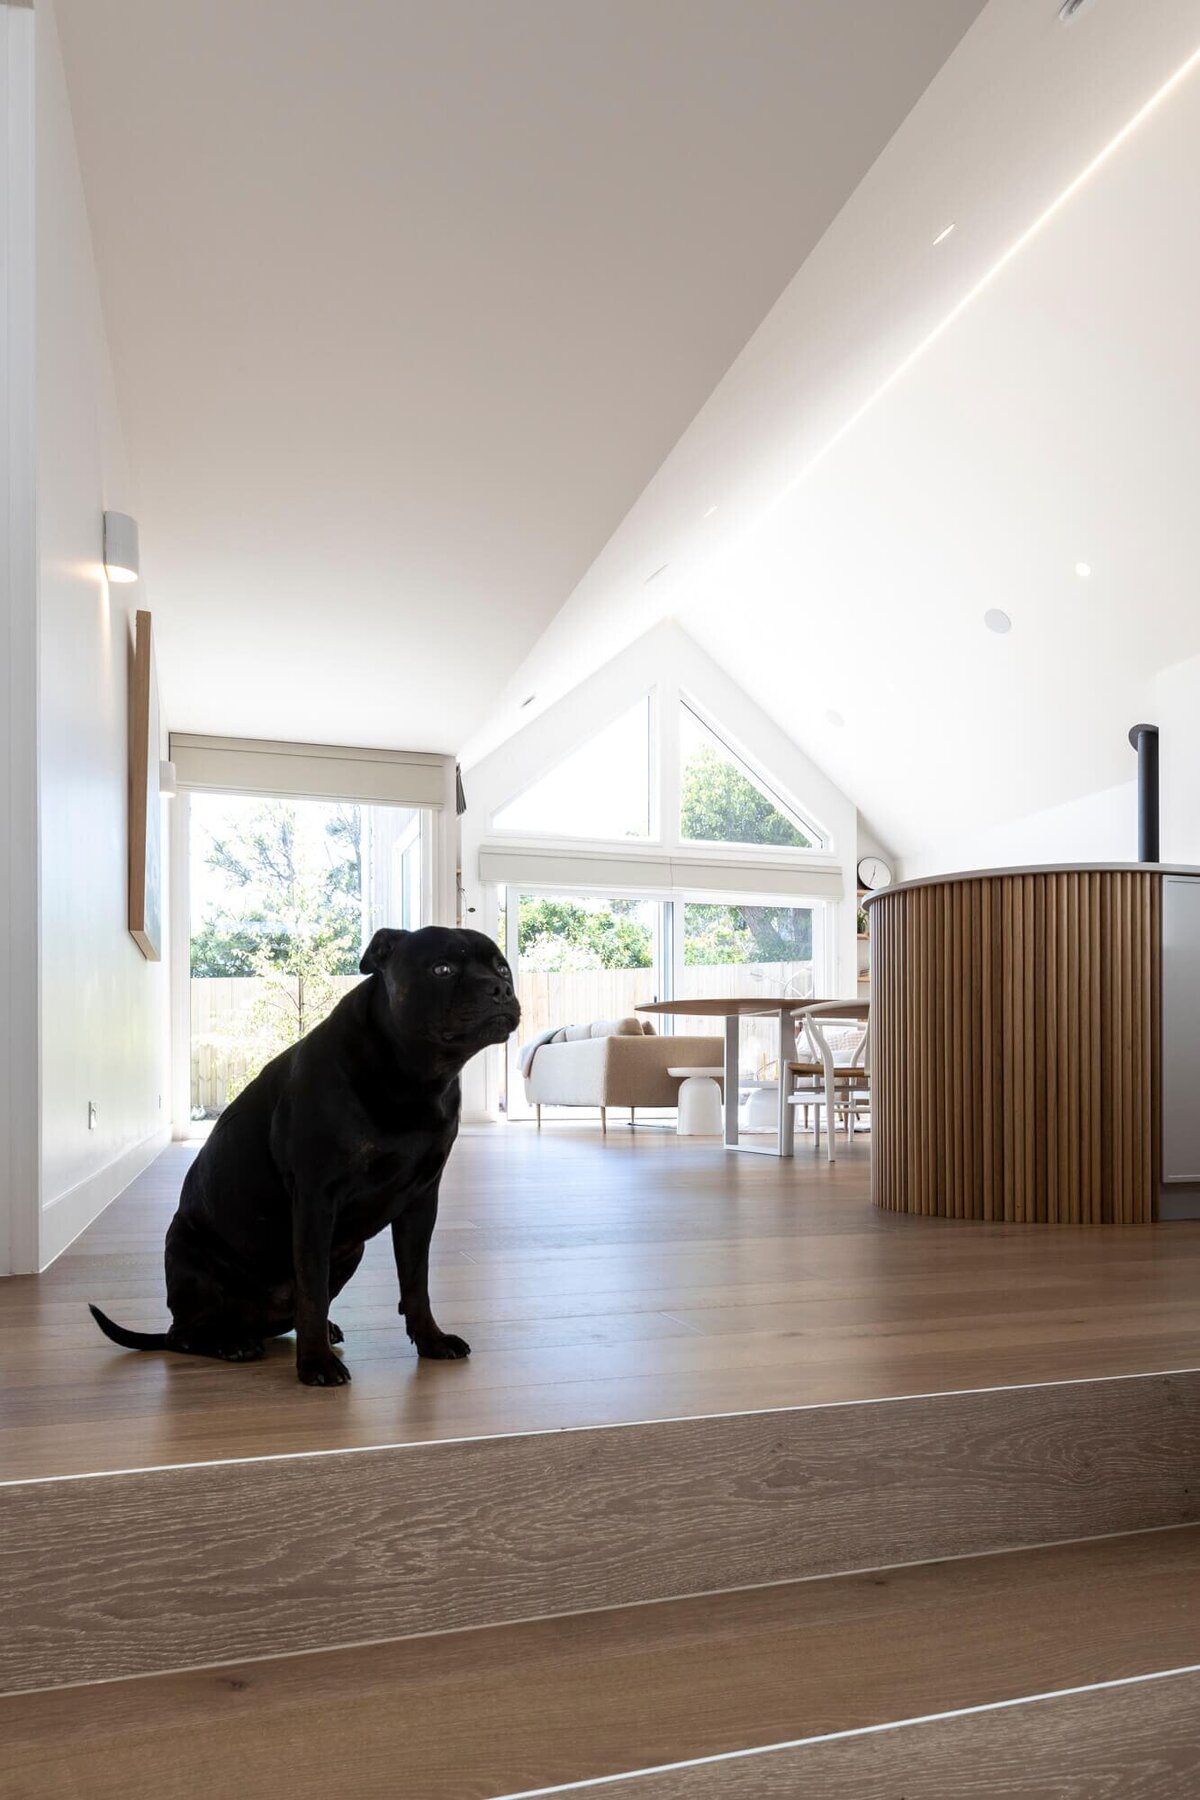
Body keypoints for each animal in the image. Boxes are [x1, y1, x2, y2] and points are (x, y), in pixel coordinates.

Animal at [84, 928, 518, 1389]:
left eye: (502, 968)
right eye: (442, 969)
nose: (501, 988)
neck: (414, 1077)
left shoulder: (420, 1203)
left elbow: (416, 1281)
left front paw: (431, 1340)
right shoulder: (315, 1201)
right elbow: (312, 1290)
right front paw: (316, 1363)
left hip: (349, 1252)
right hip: (188, 1253)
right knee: (182, 1333)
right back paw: (230, 1343)